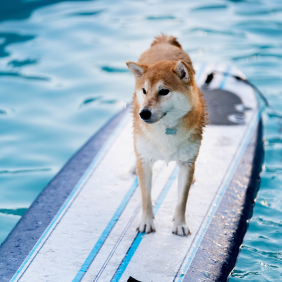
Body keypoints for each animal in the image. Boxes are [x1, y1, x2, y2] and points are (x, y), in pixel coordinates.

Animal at [126, 35, 206, 238]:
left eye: (164, 91)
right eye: (144, 90)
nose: (143, 113)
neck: (166, 127)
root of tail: (164, 41)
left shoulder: (186, 163)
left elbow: (182, 200)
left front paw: (180, 224)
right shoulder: (146, 161)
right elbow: (146, 197)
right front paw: (146, 222)